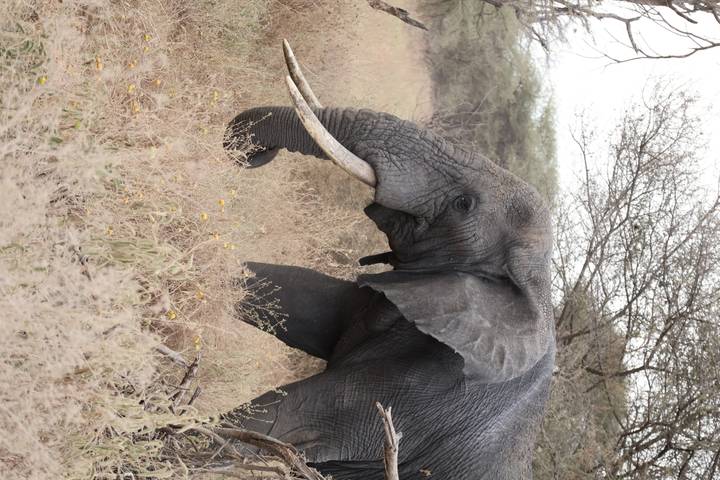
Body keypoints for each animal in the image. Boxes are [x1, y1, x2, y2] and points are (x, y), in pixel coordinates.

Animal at [221, 41, 556, 480]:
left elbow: (285, 413)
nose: (252, 153)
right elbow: (286, 294)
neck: (539, 284)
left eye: (463, 204)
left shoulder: (429, 391)